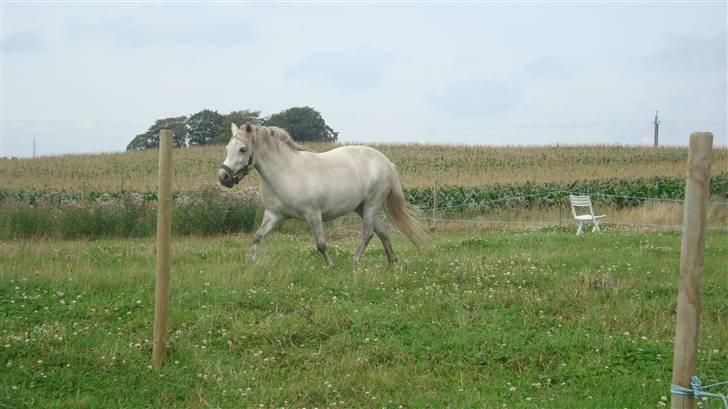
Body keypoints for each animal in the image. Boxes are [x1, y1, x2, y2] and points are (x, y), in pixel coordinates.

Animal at [216, 122, 424, 266]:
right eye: (227, 148)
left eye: (243, 149)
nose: (223, 177)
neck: (286, 171)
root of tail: (387, 162)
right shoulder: (274, 215)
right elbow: (258, 236)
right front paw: (250, 261)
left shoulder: (313, 214)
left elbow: (321, 244)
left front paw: (331, 265)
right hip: (362, 207)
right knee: (382, 232)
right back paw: (392, 261)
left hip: (371, 204)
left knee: (368, 233)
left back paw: (355, 260)